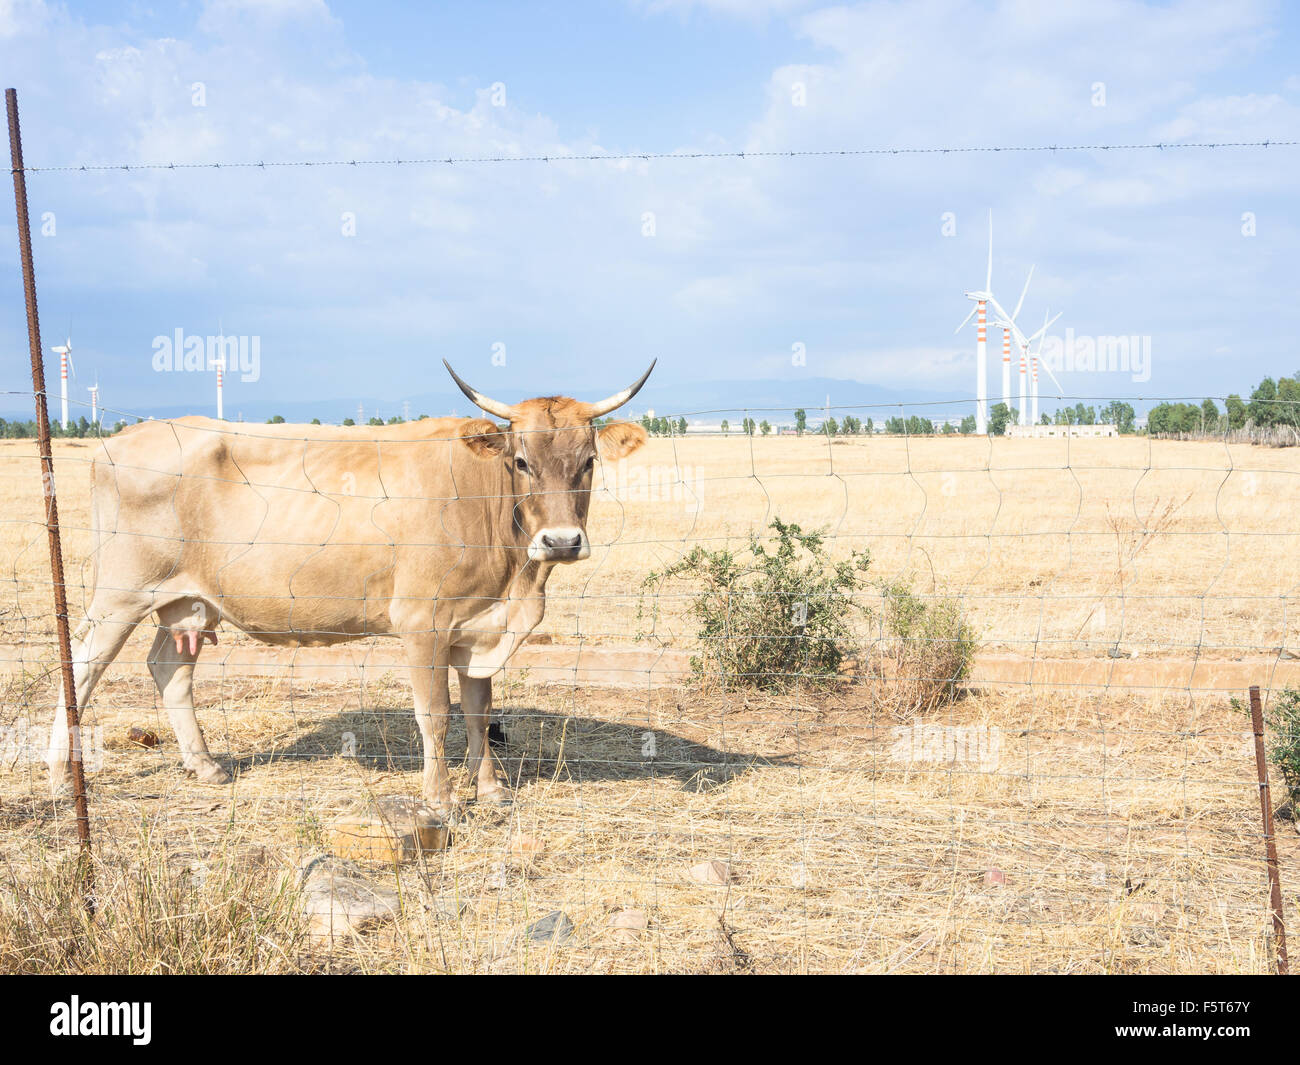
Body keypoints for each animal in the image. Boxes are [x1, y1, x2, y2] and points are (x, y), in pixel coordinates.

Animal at [47, 361, 655, 821]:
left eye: (589, 462)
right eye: (522, 461)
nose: (561, 541)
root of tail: (126, 437)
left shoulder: (477, 630)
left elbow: (479, 713)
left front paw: (491, 790)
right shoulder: (423, 624)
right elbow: (434, 715)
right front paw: (440, 800)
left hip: (185, 601)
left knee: (169, 668)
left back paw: (205, 766)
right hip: (119, 595)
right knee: (82, 666)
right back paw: (59, 772)